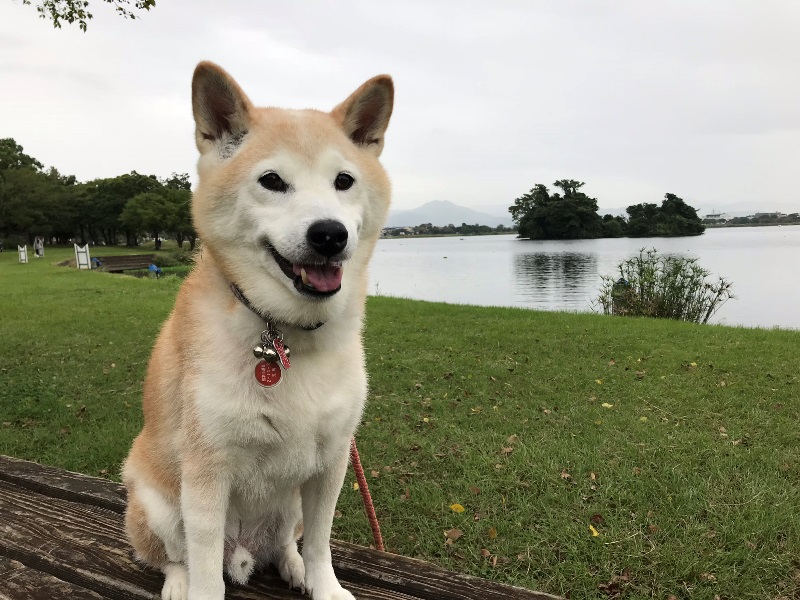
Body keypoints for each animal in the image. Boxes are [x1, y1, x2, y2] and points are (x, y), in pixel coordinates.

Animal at [121, 61, 393, 600]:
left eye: (344, 180)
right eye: (272, 180)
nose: (329, 233)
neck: (285, 331)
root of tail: (245, 550)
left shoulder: (332, 460)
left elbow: (321, 543)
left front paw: (323, 584)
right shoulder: (207, 470)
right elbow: (205, 567)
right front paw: (199, 588)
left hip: (288, 508)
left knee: (288, 542)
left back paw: (292, 566)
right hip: (156, 502)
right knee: (173, 556)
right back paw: (177, 582)